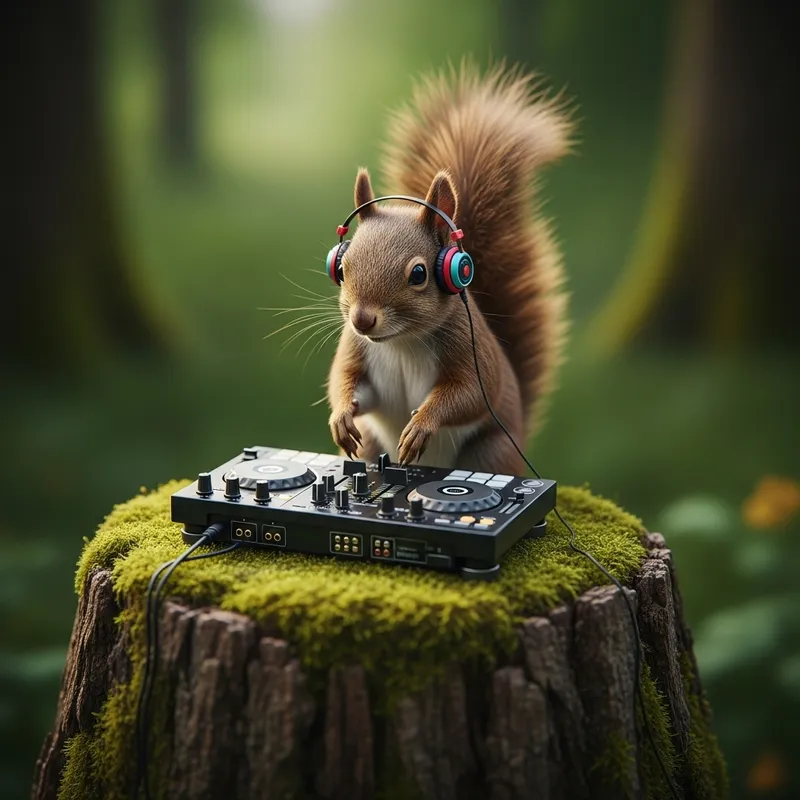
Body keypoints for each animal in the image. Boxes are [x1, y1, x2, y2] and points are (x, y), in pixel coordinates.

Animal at [327, 61, 573, 475]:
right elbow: (345, 381)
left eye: (419, 274)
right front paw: (342, 417)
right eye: (341, 268)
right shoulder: (357, 350)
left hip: (490, 452)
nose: (362, 320)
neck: (401, 343)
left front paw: (420, 427)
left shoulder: (469, 351)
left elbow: (468, 394)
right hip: (371, 449)